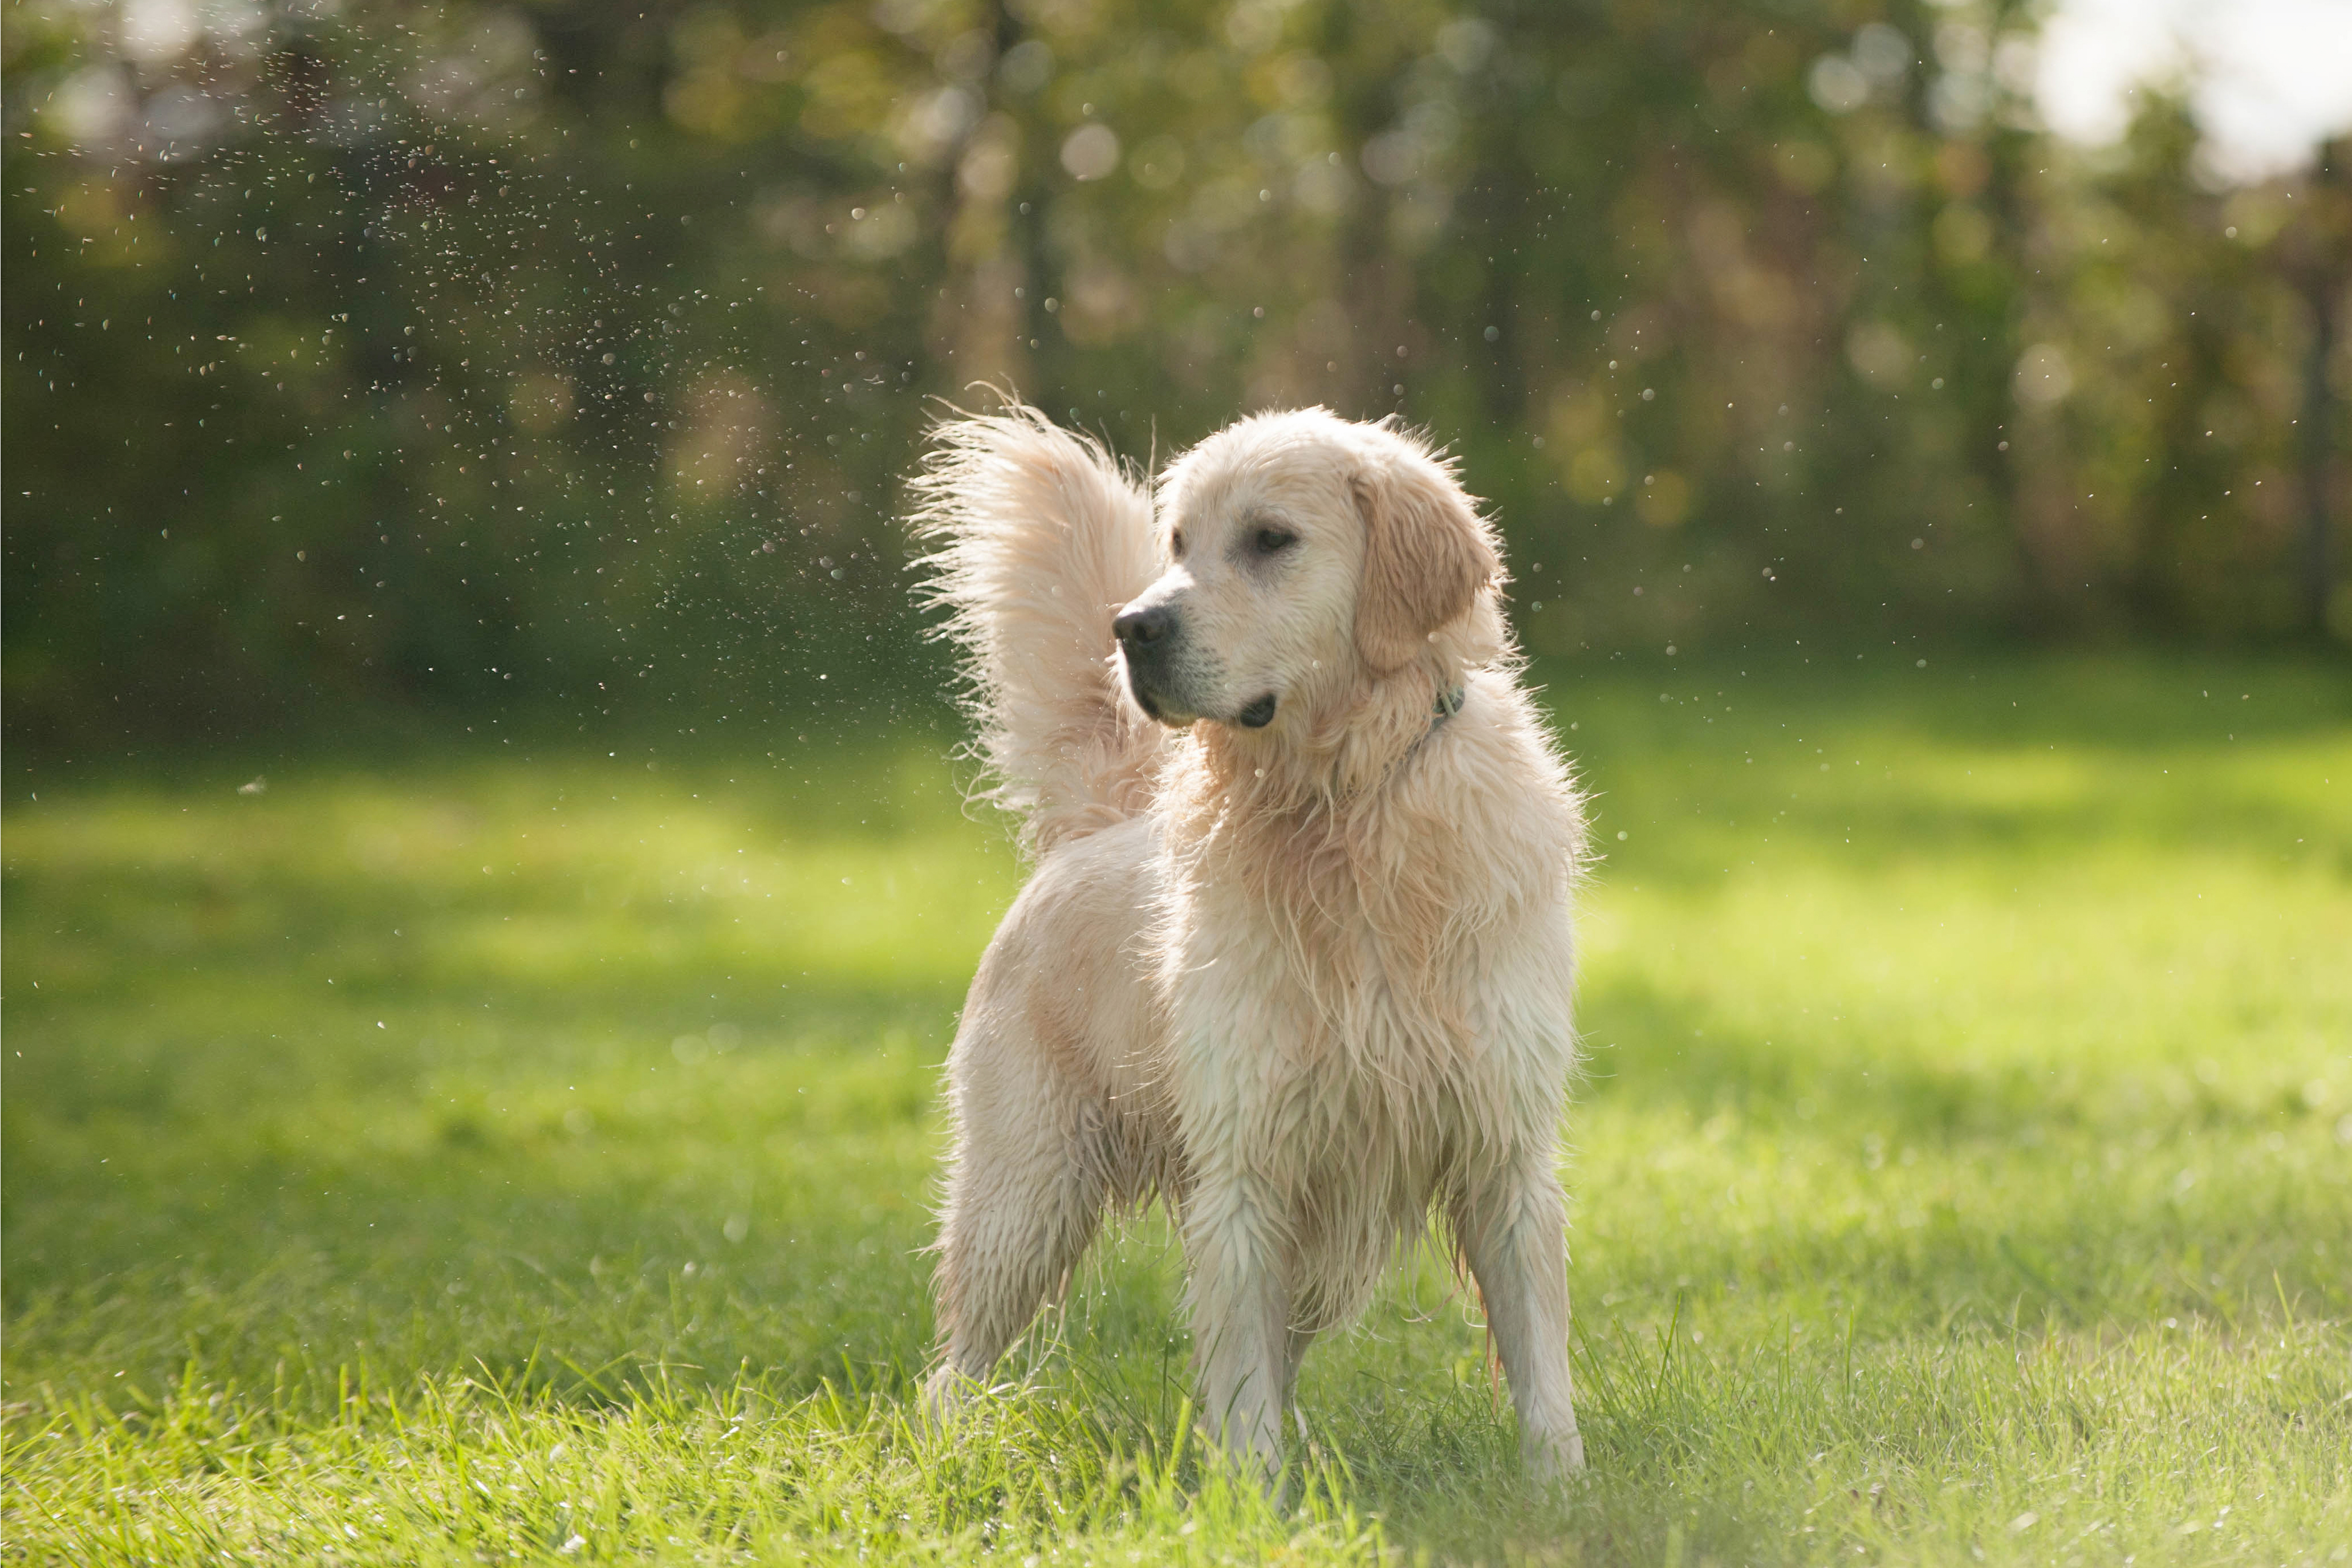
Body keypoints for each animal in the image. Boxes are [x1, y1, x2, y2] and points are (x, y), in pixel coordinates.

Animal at [908, 399, 1590, 1476]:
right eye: (1178, 543)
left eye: (1271, 539)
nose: (1132, 627)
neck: (1343, 812)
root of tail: (1094, 829)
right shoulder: (1245, 1164)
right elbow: (1240, 1381)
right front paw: (1252, 1493)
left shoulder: (1505, 1149)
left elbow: (1537, 1358)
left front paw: (1560, 1485)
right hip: (1025, 1196)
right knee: (953, 1365)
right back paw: (947, 1454)